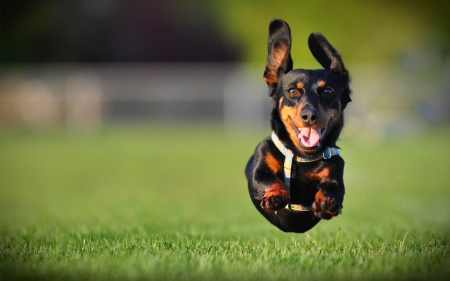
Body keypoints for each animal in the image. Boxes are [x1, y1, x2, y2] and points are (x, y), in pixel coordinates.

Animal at [246, 19, 352, 232]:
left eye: (328, 91)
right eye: (293, 91)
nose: (310, 116)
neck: (302, 156)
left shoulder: (335, 170)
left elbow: (333, 189)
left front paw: (327, 201)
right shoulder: (259, 169)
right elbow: (268, 179)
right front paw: (275, 195)